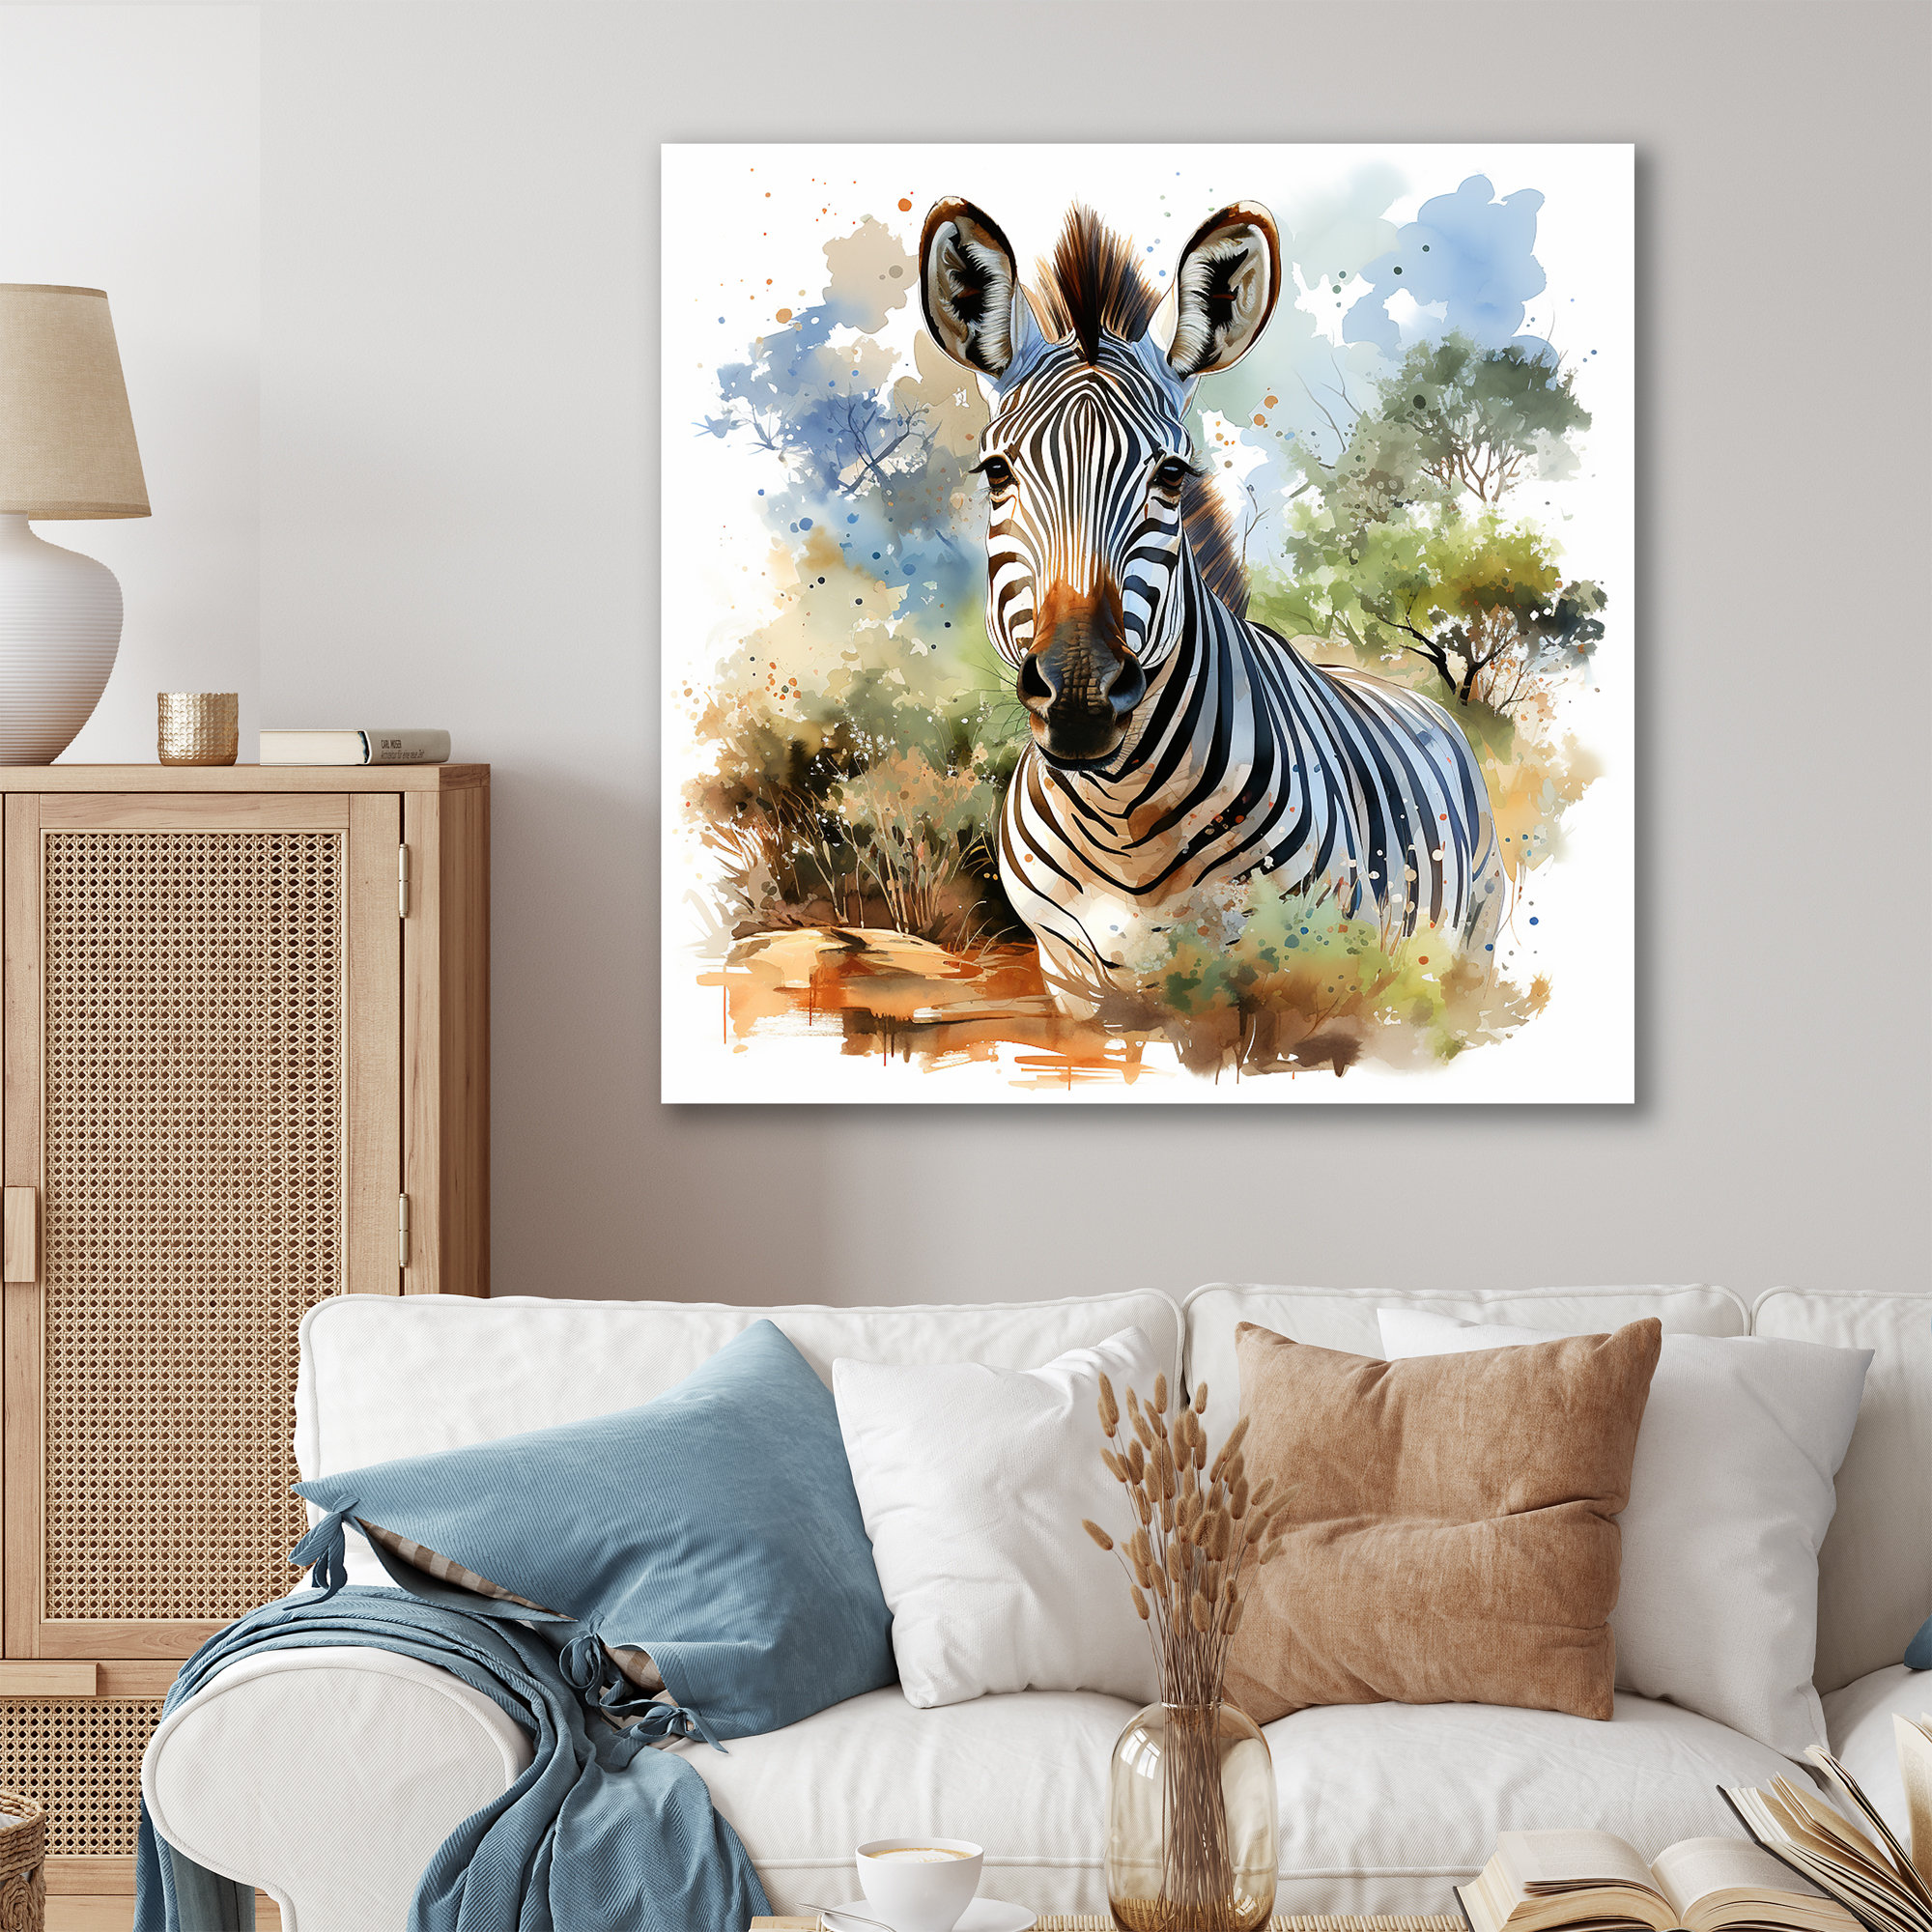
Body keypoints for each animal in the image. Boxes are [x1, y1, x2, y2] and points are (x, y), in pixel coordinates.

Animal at [918, 196, 1504, 1014]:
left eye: (1171, 475)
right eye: (996, 472)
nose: (1080, 698)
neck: (1123, 824)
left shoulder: (1296, 982)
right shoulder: (1072, 981)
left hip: (1464, 949)